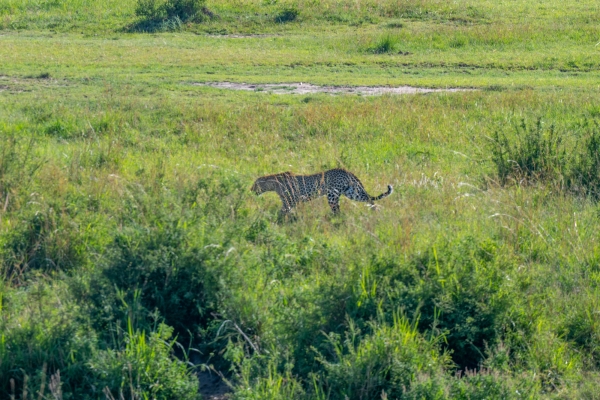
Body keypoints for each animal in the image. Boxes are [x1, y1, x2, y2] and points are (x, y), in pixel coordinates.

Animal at [250, 167, 394, 214]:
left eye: (255, 184)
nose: (251, 190)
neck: (274, 183)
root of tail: (345, 170)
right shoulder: (292, 201)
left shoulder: (290, 200)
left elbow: (283, 211)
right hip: (352, 192)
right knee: (369, 199)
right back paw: (375, 211)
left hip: (332, 195)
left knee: (337, 210)